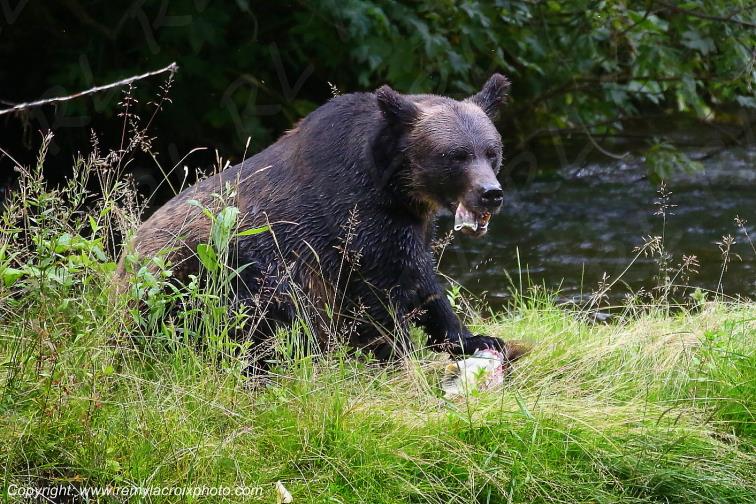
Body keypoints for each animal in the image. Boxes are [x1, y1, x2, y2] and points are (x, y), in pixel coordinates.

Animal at [119, 73, 516, 362]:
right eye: (456, 155)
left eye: (491, 151)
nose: (491, 193)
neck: (394, 188)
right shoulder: (351, 221)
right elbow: (378, 297)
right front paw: (400, 353)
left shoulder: (408, 225)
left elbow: (425, 282)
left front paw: (476, 338)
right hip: (192, 266)